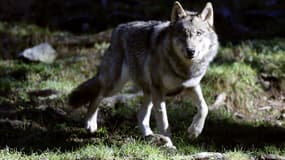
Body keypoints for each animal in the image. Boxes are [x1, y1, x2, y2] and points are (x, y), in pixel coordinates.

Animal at [68, 0, 217, 148]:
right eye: (183, 34)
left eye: (199, 33)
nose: (190, 51)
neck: (184, 68)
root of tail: (119, 28)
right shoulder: (159, 90)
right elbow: (164, 123)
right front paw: (169, 144)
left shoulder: (191, 86)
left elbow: (204, 108)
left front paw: (194, 131)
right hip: (115, 85)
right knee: (96, 96)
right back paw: (90, 124)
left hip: (148, 93)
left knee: (140, 115)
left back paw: (149, 136)